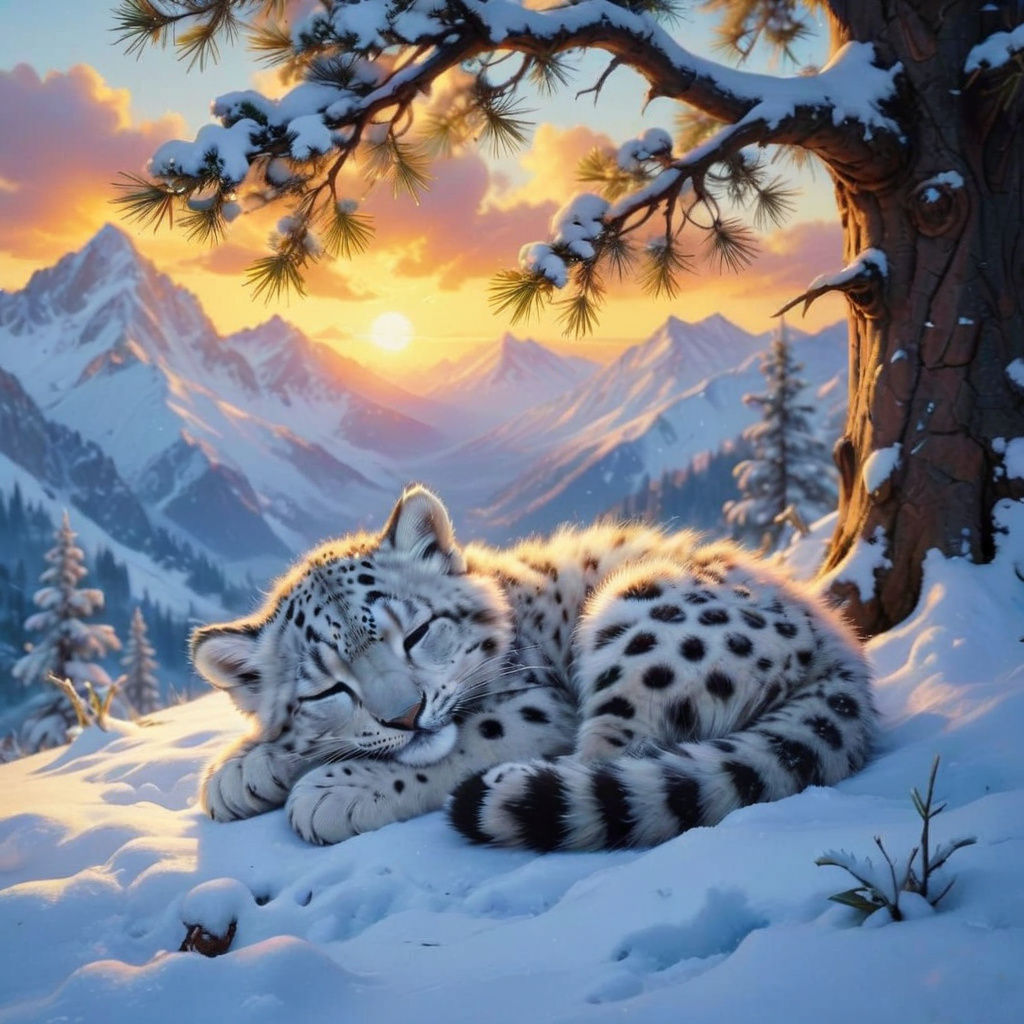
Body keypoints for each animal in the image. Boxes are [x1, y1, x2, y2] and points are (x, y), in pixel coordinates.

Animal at [191, 485, 875, 850]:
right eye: (330, 687)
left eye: (417, 632)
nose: (406, 716)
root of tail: (839, 646)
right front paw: (244, 768)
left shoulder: (537, 702)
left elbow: (464, 739)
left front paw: (334, 790)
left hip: (642, 622)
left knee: (609, 756)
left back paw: (509, 789)